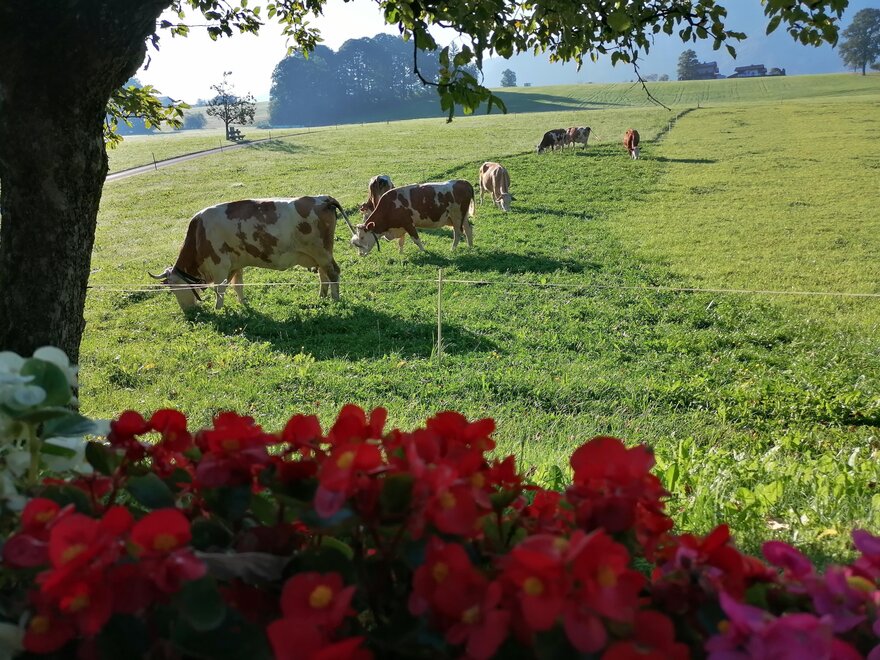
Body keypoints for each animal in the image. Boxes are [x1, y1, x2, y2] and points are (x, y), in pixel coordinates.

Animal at [149, 196, 354, 310]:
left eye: (174, 288)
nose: (187, 311)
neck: (200, 233)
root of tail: (321, 198)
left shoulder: (220, 266)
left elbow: (220, 289)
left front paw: (218, 309)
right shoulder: (236, 264)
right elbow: (237, 285)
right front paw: (242, 303)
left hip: (322, 252)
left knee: (333, 272)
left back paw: (335, 299)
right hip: (318, 255)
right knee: (323, 274)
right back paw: (322, 296)